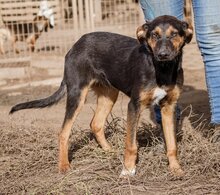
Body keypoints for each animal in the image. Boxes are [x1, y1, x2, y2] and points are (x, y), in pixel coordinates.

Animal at [10, 15, 192, 177]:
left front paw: (176, 169)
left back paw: (109, 151)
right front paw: (128, 170)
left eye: (174, 34)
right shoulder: (134, 105)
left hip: (109, 94)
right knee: (63, 132)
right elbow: (131, 145)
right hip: (77, 94)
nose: (162, 54)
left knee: (96, 124)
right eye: (154, 35)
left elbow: (172, 145)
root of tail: (77, 44)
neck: (162, 70)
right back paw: (64, 166)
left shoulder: (169, 107)